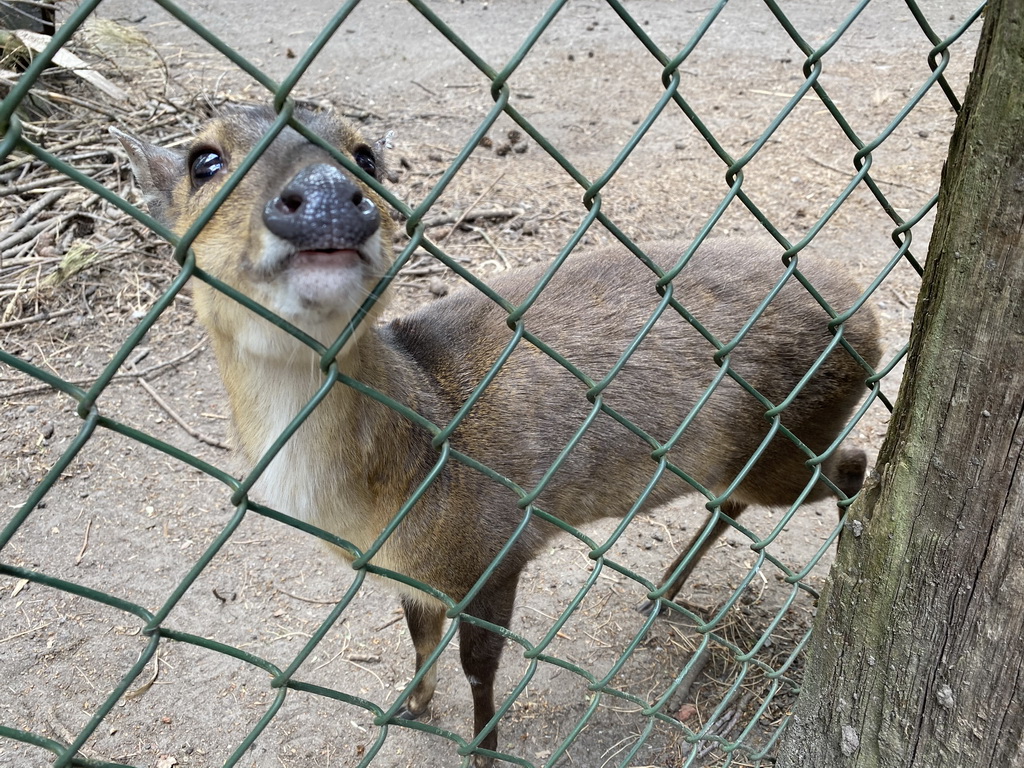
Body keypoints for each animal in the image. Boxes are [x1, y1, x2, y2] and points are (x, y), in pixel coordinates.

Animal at [110, 107, 880, 768]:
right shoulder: (411, 571)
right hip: (751, 453)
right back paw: (662, 592)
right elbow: (419, 637)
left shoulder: (496, 548)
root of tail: (869, 319)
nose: (328, 194)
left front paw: (482, 747)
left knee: (854, 463)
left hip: (789, 437)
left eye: (366, 156)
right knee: (740, 498)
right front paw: (411, 705)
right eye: (204, 159)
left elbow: (478, 665)